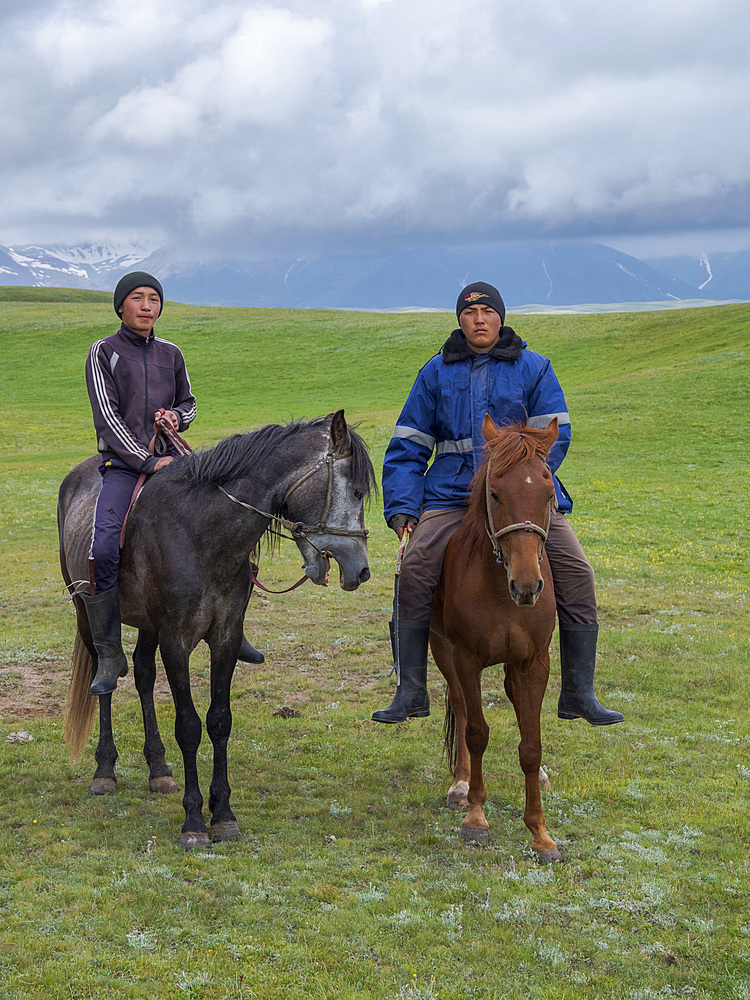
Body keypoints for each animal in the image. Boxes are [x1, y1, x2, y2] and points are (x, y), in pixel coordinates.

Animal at [428, 410, 564, 864]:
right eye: (496, 494)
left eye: (548, 492)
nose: (527, 585)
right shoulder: (466, 657)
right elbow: (476, 732)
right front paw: (476, 817)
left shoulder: (534, 661)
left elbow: (531, 744)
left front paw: (540, 833)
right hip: (441, 649)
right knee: (459, 704)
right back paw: (460, 784)